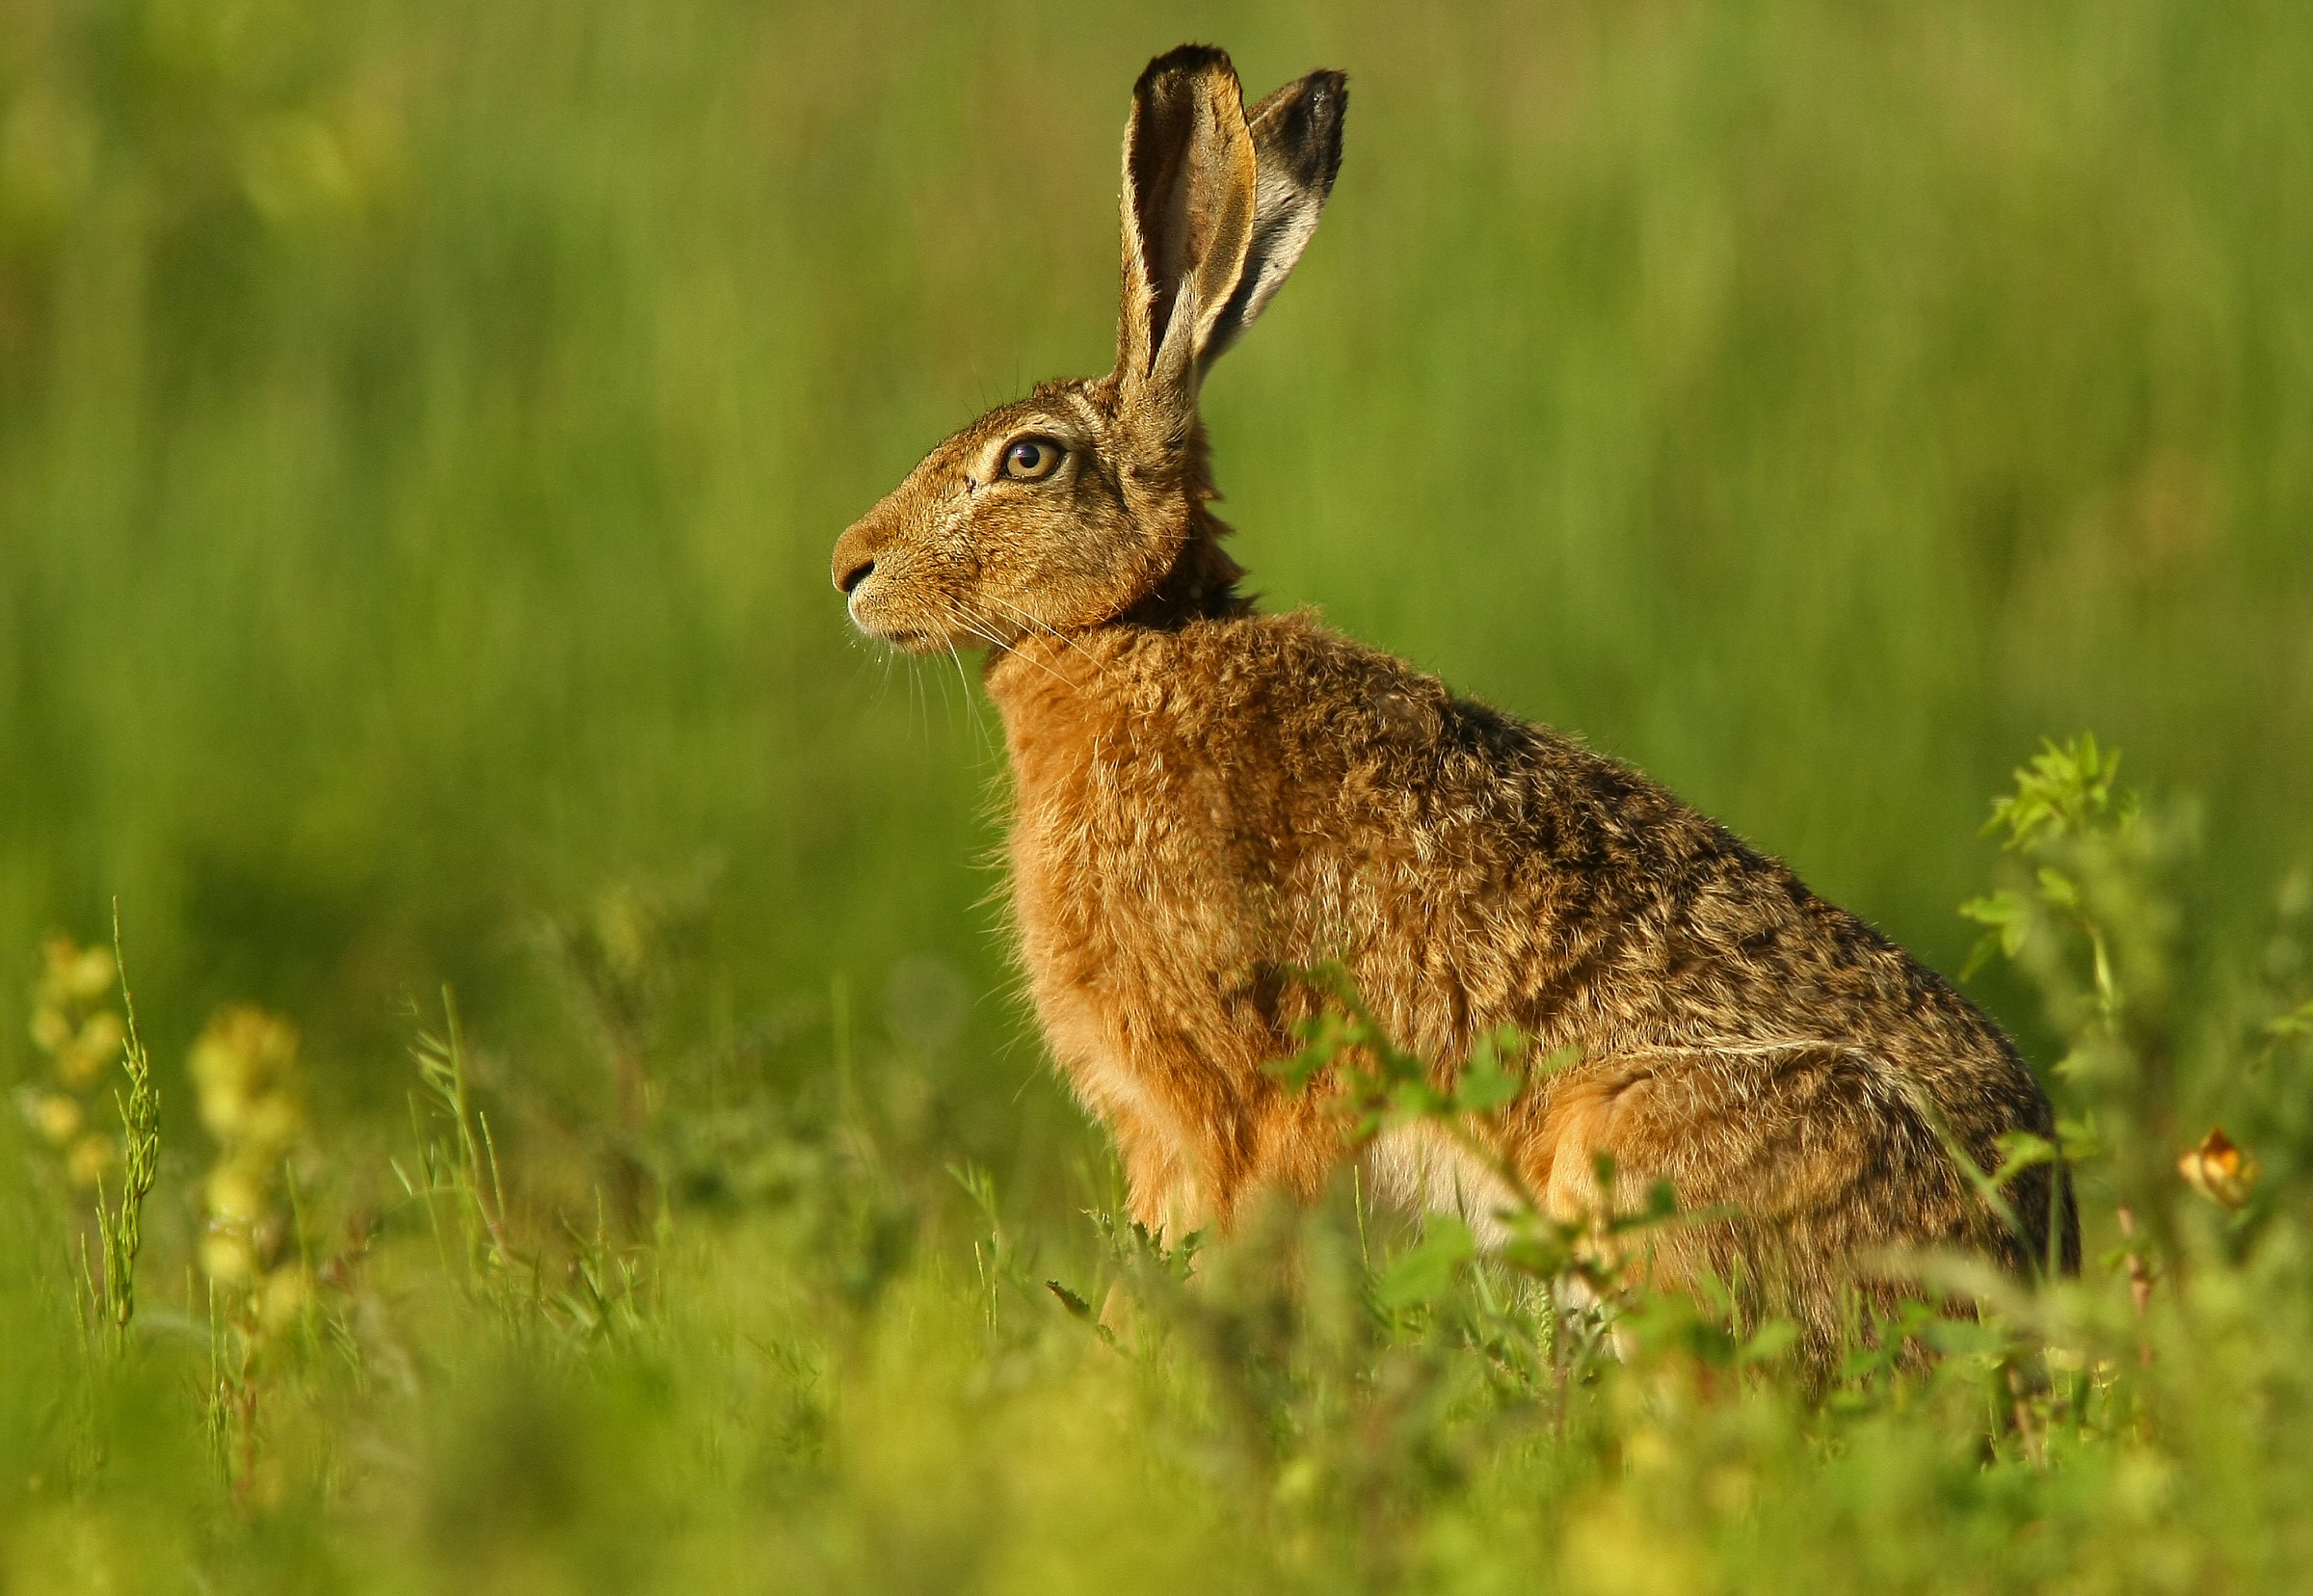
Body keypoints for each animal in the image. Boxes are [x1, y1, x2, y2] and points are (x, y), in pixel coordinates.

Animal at [831, 44, 2076, 1353]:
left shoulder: (1234, 1096)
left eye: (1028, 459)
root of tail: (2031, 1255)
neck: (1137, 633)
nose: (849, 568)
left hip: (1639, 1149)